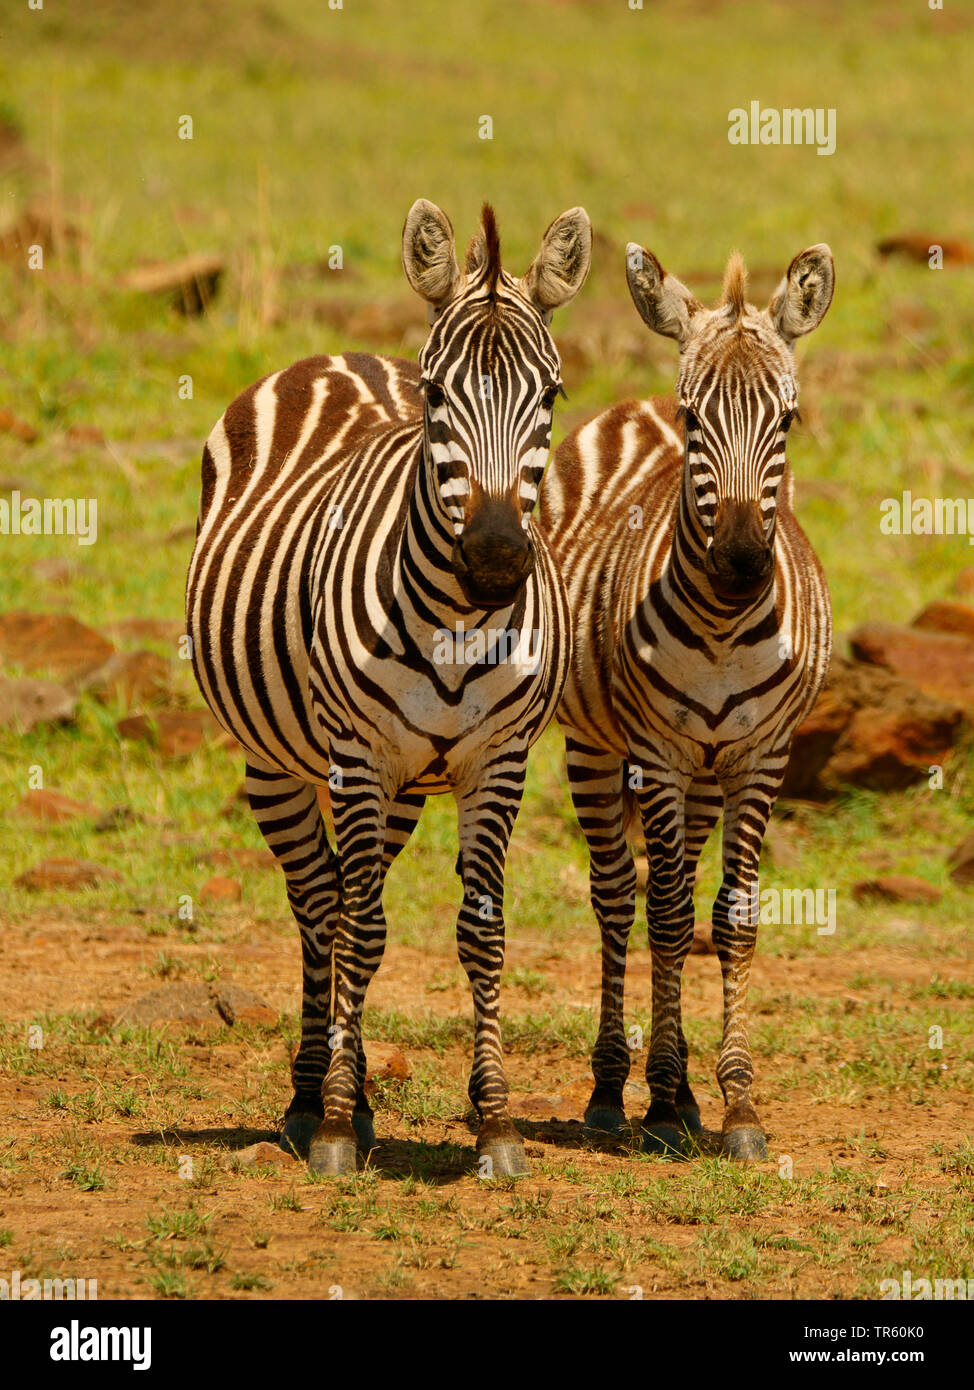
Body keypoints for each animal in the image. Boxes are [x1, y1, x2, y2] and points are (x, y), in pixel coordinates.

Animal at [184, 198, 589, 1173]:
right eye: (438, 394)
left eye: (552, 396)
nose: (496, 558)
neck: (456, 622)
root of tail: (339, 356)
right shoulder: (359, 757)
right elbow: (360, 930)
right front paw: (333, 1122)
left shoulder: (498, 761)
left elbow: (482, 931)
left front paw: (496, 1124)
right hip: (282, 762)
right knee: (322, 905)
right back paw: (312, 1098)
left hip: (407, 782)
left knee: (340, 897)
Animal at [536, 241, 833, 1162]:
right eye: (695, 420)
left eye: (788, 421)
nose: (740, 562)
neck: (724, 627)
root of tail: (629, 409)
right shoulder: (658, 755)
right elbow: (665, 916)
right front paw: (661, 1102)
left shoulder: (762, 757)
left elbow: (730, 919)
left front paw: (735, 1104)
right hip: (597, 747)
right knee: (616, 896)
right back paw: (612, 1090)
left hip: (707, 771)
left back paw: (691, 1092)